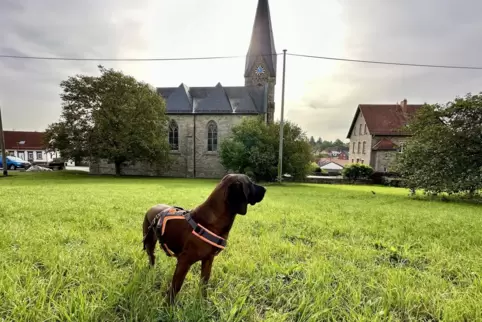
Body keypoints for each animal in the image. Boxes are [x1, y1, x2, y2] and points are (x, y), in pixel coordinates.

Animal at [142, 174, 268, 302]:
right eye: (250, 183)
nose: (265, 189)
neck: (213, 221)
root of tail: (152, 208)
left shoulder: (208, 260)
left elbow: (204, 283)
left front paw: (203, 301)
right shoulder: (184, 261)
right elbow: (175, 287)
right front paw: (169, 304)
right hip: (149, 242)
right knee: (152, 257)